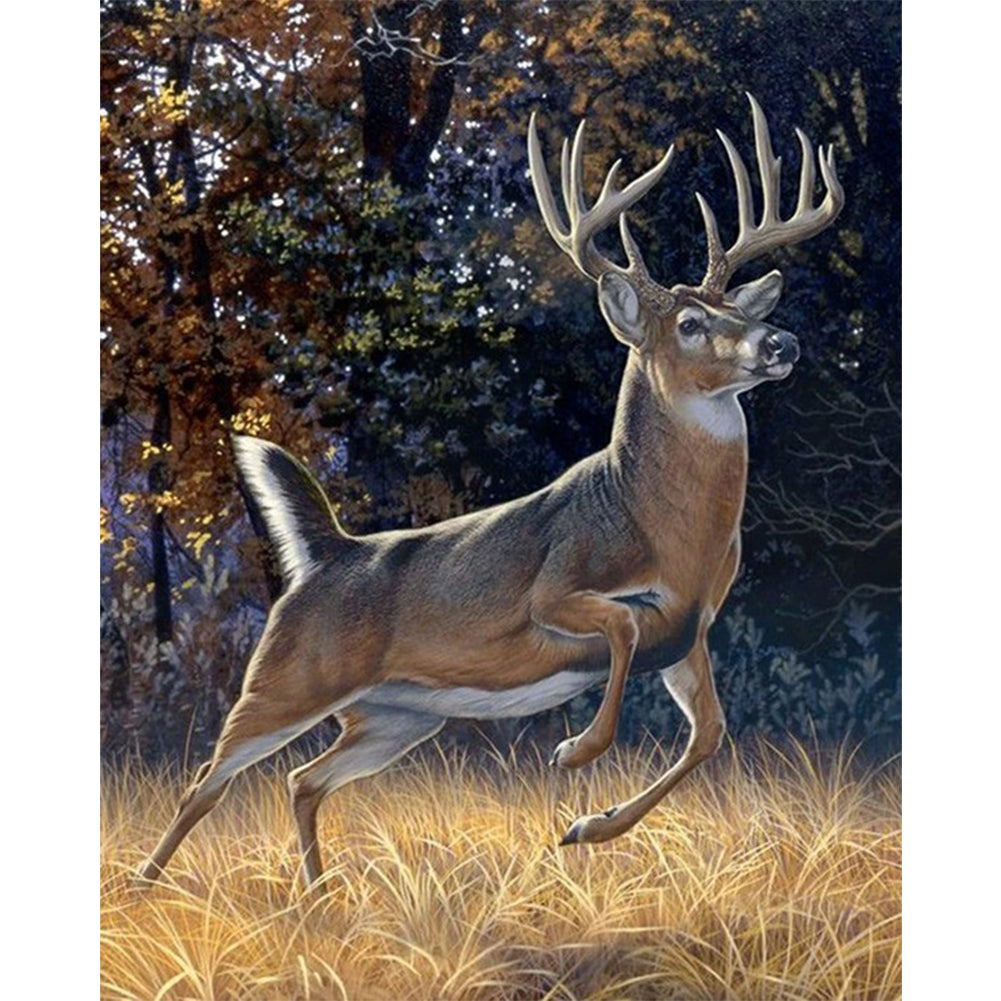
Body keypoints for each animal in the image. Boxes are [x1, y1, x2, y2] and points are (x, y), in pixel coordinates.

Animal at [139, 94, 843, 890]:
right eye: (691, 323)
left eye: (744, 313)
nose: (780, 342)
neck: (659, 527)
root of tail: (326, 554)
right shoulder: (556, 591)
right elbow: (621, 625)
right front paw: (575, 752)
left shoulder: (689, 633)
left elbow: (710, 735)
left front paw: (587, 826)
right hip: (285, 678)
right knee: (207, 780)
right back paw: (144, 886)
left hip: (399, 716)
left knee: (302, 779)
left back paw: (317, 894)